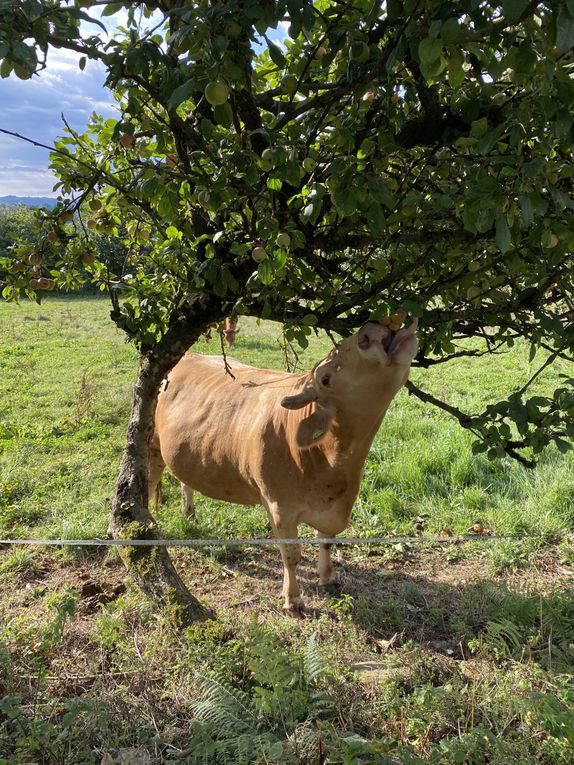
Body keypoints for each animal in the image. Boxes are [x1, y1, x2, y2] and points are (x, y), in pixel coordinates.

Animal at [150, 320, 418, 612]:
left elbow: (326, 542)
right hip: (151, 444)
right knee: (149, 482)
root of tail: (187, 356)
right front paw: (293, 598)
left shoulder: (330, 507)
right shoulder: (280, 507)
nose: (369, 331)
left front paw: (328, 578)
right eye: (325, 379)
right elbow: (291, 554)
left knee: (185, 481)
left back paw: (189, 513)